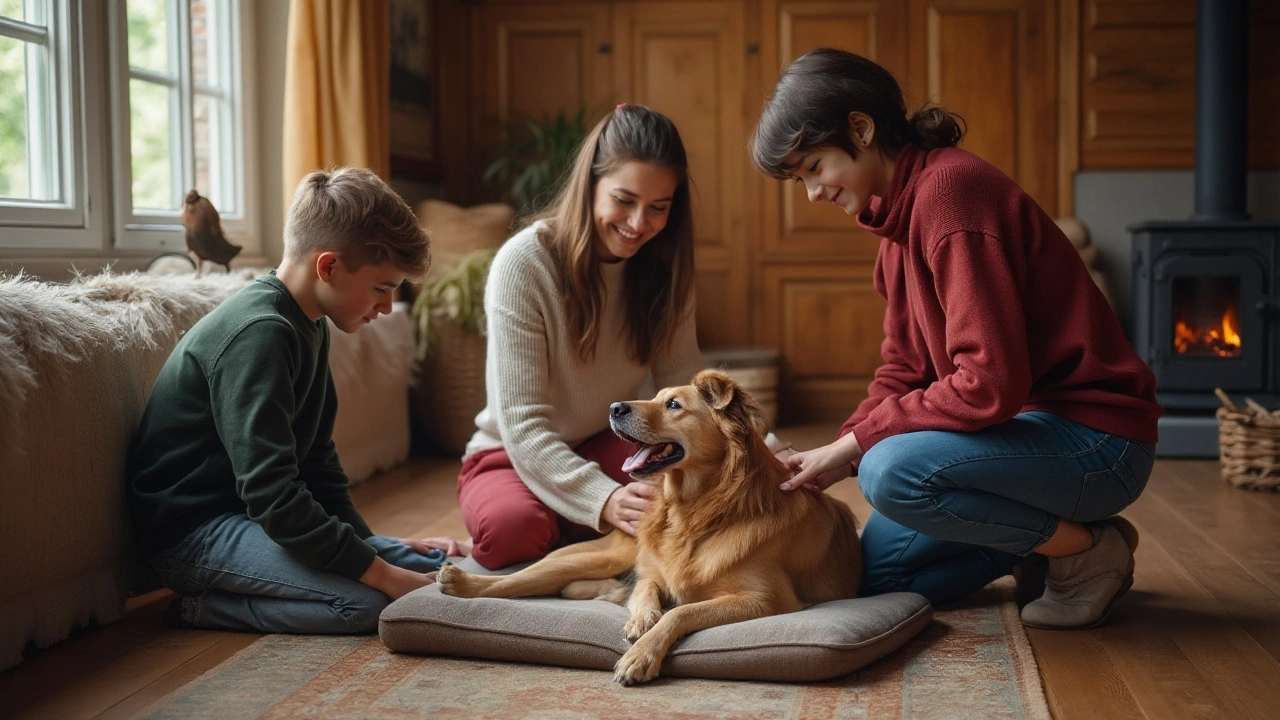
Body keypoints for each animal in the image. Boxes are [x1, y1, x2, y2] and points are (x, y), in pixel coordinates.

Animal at [435, 368, 865, 681]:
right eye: (657, 398)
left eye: (673, 404)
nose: (614, 408)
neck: (697, 510)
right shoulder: (654, 571)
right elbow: (648, 589)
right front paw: (642, 617)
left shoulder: (766, 599)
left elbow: (680, 612)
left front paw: (641, 654)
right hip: (595, 558)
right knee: (516, 580)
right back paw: (463, 582)